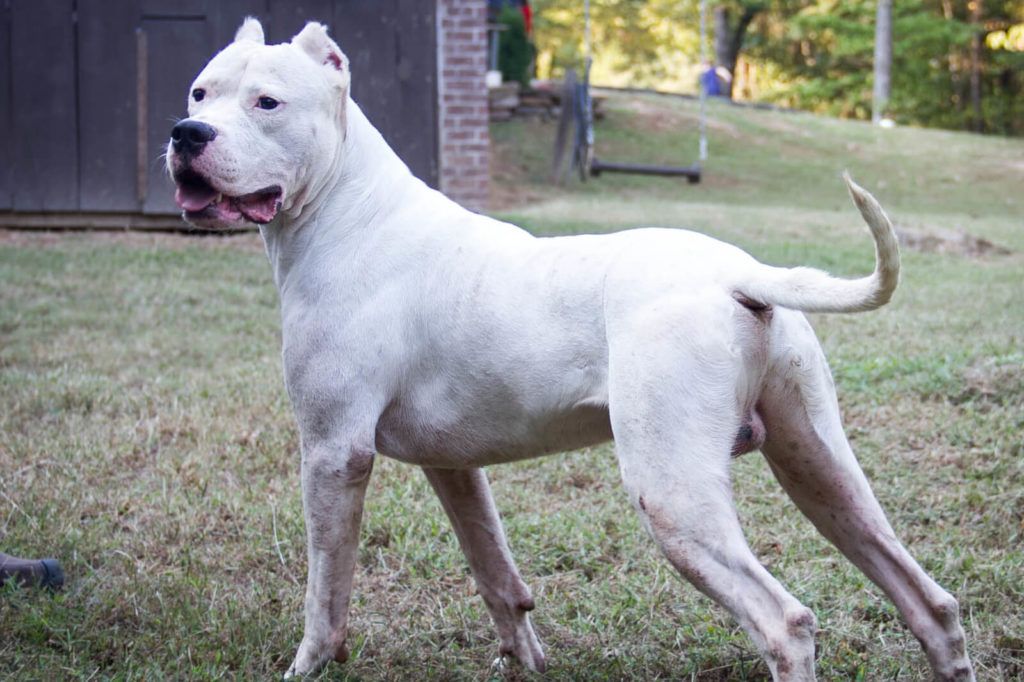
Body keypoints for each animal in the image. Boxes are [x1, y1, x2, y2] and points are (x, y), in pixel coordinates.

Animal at [167, 18, 974, 675]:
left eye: (267, 103)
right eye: (200, 92)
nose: (186, 133)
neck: (346, 207)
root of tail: (737, 272)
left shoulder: (334, 454)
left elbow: (325, 594)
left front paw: (308, 664)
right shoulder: (452, 466)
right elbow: (494, 571)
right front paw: (523, 657)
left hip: (674, 494)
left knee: (786, 623)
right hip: (822, 471)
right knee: (929, 603)